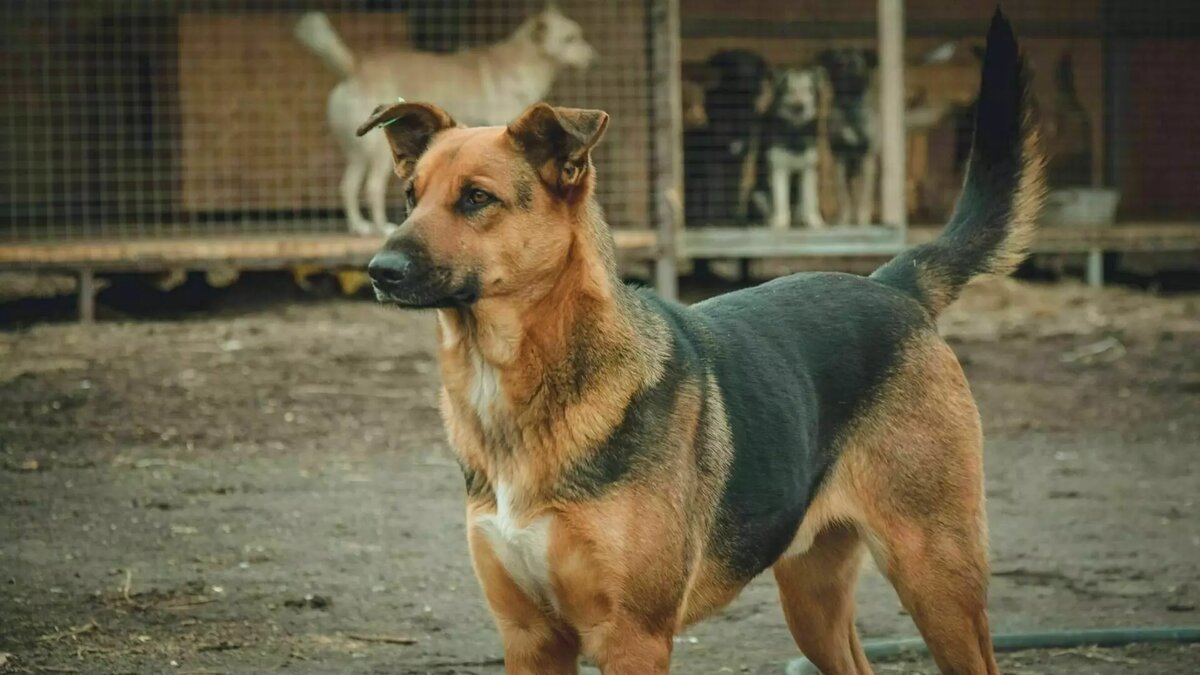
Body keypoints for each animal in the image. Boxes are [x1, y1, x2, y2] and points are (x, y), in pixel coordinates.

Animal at [295, 5, 595, 234]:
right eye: (570, 39)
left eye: (579, 35)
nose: (594, 57)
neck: (524, 61)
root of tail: (355, 68)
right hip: (379, 154)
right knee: (371, 188)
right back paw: (381, 227)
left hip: (358, 153)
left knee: (346, 186)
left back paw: (359, 227)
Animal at [758, 67, 825, 228]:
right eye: (791, 90)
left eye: (809, 90)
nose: (800, 107)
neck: (795, 131)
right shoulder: (779, 168)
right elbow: (781, 199)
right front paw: (780, 222)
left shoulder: (808, 170)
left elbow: (810, 200)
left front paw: (814, 222)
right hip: (758, 194)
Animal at [820, 48, 878, 225]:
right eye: (838, 65)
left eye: (856, 65)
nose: (845, 79)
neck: (850, 109)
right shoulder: (840, 159)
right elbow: (843, 195)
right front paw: (843, 219)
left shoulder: (866, 159)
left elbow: (864, 194)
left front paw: (863, 219)